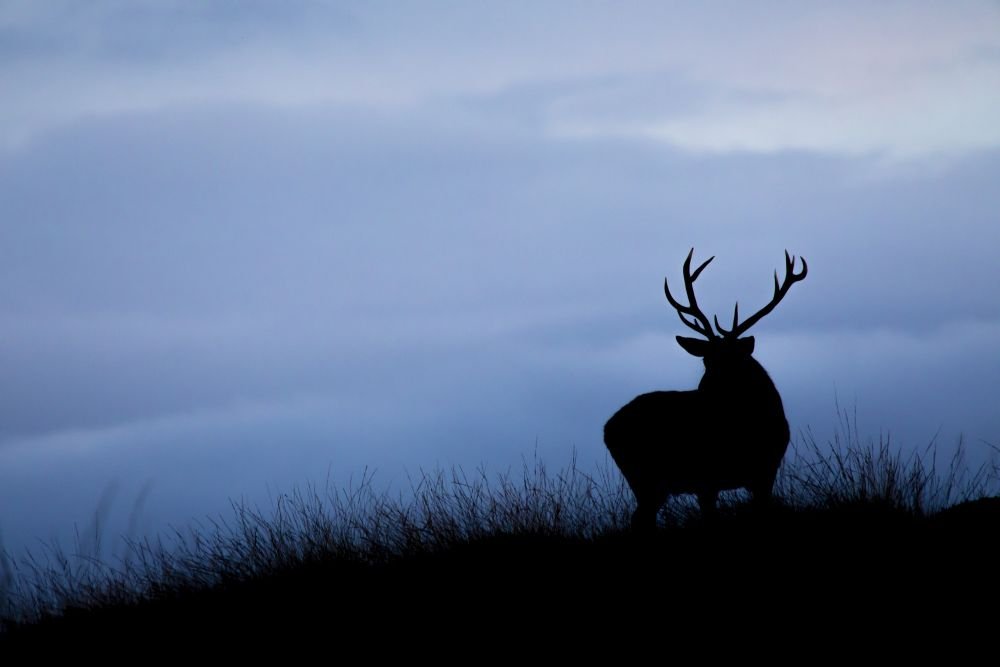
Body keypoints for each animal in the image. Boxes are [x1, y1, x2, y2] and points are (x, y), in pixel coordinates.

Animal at [604, 249, 807, 530]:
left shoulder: (765, 470)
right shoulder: (707, 478)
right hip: (645, 475)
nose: (702, 388)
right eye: (705, 360)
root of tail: (607, 429)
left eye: (731, 359)